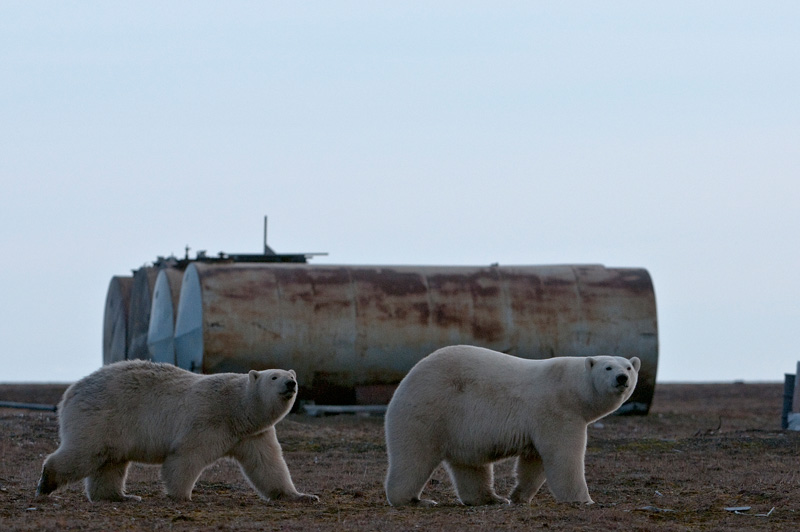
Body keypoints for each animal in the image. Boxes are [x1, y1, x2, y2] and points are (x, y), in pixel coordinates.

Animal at [36, 358, 318, 502]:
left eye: (291, 375)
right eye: (274, 377)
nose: (290, 383)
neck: (237, 408)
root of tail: (71, 391)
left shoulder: (253, 434)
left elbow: (267, 464)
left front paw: (300, 495)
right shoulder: (208, 418)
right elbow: (186, 456)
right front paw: (182, 496)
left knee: (110, 461)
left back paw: (120, 496)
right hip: (101, 415)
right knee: (84, 452)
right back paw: (46, 483)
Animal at [384, 344, 640, 508]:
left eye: (628, 367)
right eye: (608, 367)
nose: (622, 378)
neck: (571, 388)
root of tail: (407, 378)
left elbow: (534, 463)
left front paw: (518, 496)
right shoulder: (556, 411)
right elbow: (563, 456)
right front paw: (584, 500)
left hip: (459, 428)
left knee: (470, 466)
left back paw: (491, 499)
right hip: (431, 410)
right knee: (414, 456)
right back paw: (415, 500)